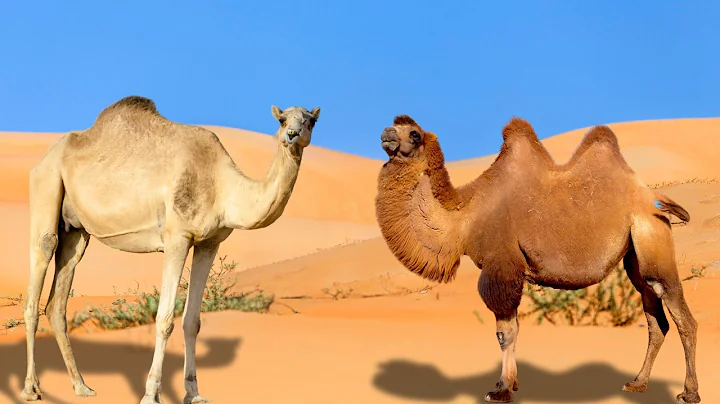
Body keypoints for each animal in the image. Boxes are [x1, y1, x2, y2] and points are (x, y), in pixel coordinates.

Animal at [22, 96, 320, 404]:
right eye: (282, 120)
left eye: (311, 121)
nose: (292, 134)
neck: (222, 186)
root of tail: (44, 158)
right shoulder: (176, 237)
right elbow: (164, 319)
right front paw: (151, 394)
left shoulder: (209, 243)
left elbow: (192, 321)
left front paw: (194, 393)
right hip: (46, 185)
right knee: (42, 258)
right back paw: (32, 389)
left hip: (76, 231)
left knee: (58, 298)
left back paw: (81, 386)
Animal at [375, 115, 700, 403]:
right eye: (394, 123)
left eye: (414, 133)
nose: (386, 134)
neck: (466, 217)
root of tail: (655, 200)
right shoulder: (511, 271)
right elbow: (515, 329)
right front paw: (509, 383)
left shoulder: (501, 266)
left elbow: (504, 333)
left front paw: (501, 390)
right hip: (636, 257)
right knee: (656, 321)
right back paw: (637, 383)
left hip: (653, 240)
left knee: (683, 318)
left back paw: (689, 393)